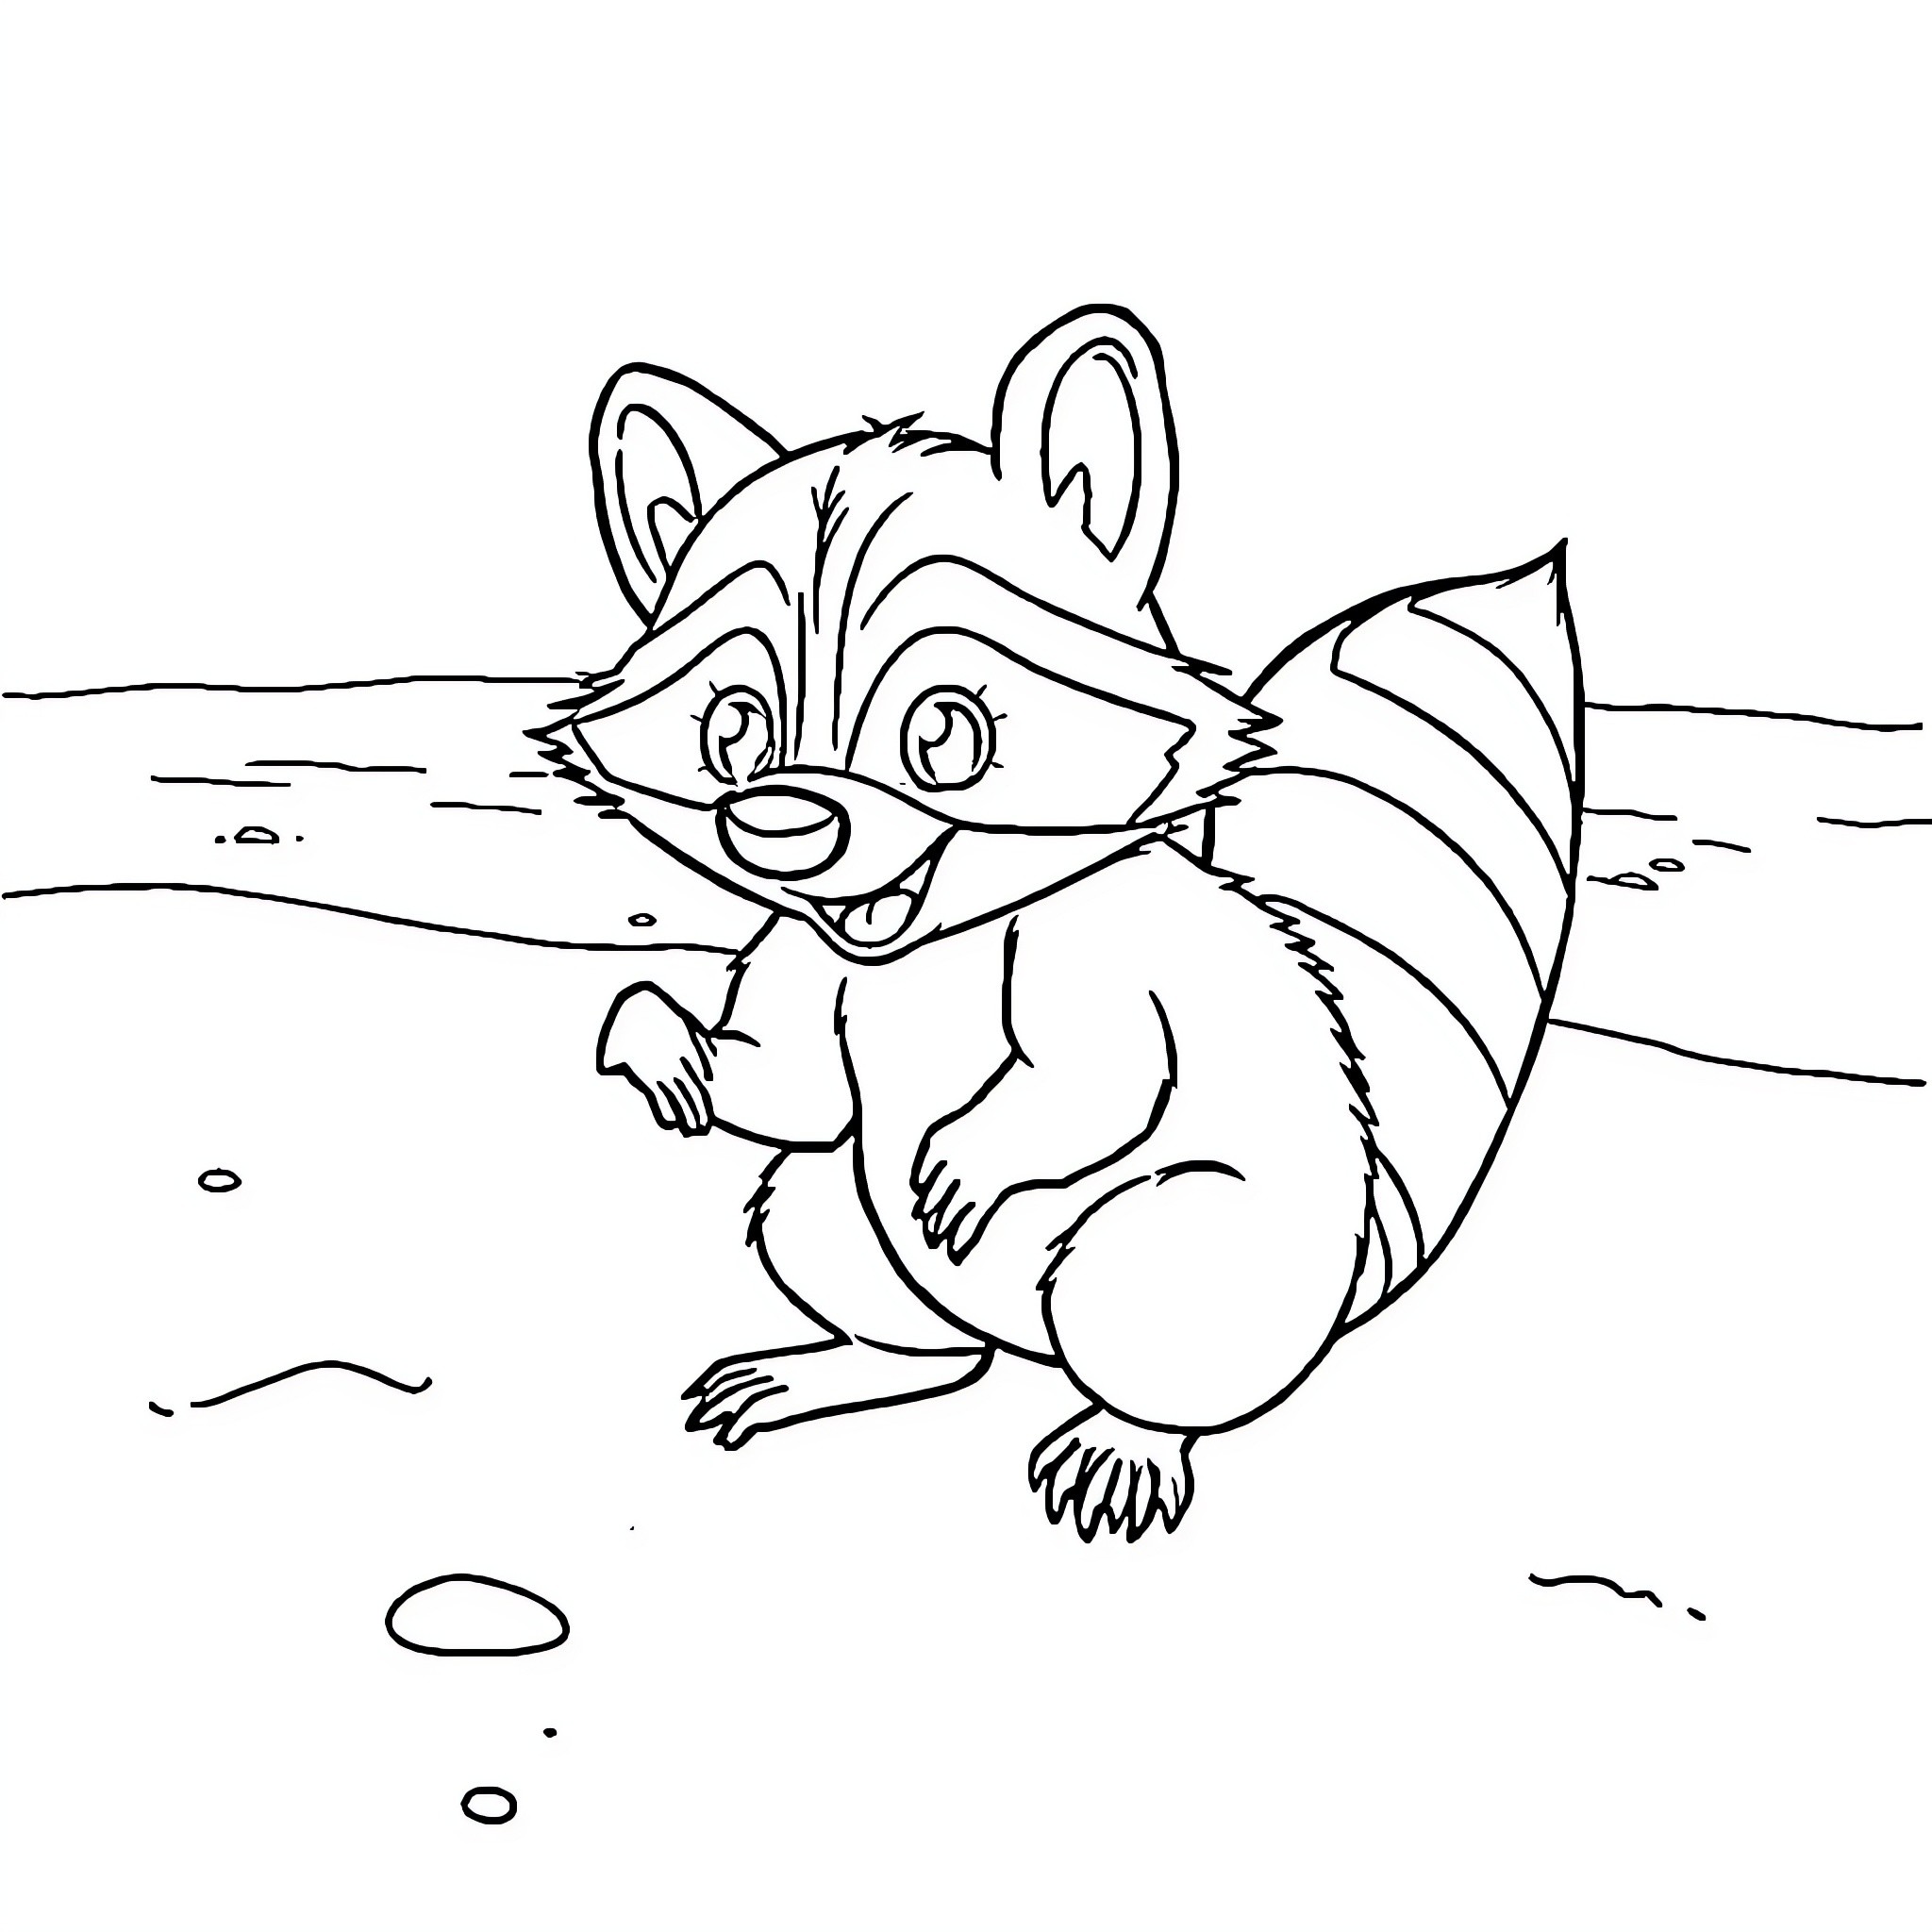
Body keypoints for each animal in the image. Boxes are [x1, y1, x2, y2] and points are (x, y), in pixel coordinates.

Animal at [539, 307, 1582, 1540]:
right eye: (732, 729)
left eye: (946, 731)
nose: (776, 822)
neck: (919, 954)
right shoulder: (803, 968)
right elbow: (788, 1087)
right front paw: (657, 1041)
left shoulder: (1104, 963)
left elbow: (1095, 1078)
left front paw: (969, 1159)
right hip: (823, 1209)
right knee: (930, 1342)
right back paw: (824, 1371)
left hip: (1170, 1249)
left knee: (1165, 1374)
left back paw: (1119, 1444)